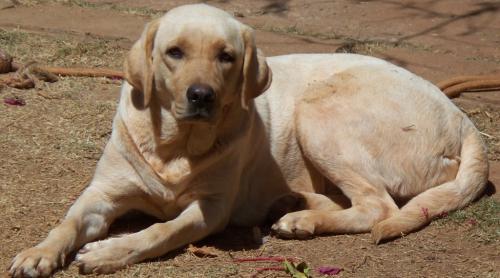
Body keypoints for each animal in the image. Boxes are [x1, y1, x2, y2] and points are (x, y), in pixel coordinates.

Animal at [10, 3, 488, 276]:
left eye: (226, 57)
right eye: (174, 52)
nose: (201, 95)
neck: (176, 147)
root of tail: (462, 120)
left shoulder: (210, 210)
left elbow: (159, 231)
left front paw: (108, 252)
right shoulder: (102, 194)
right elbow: (67, 223)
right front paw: (38, 253)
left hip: (318, 112)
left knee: (378, 207)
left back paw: (302, 218)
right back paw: (295, 206)